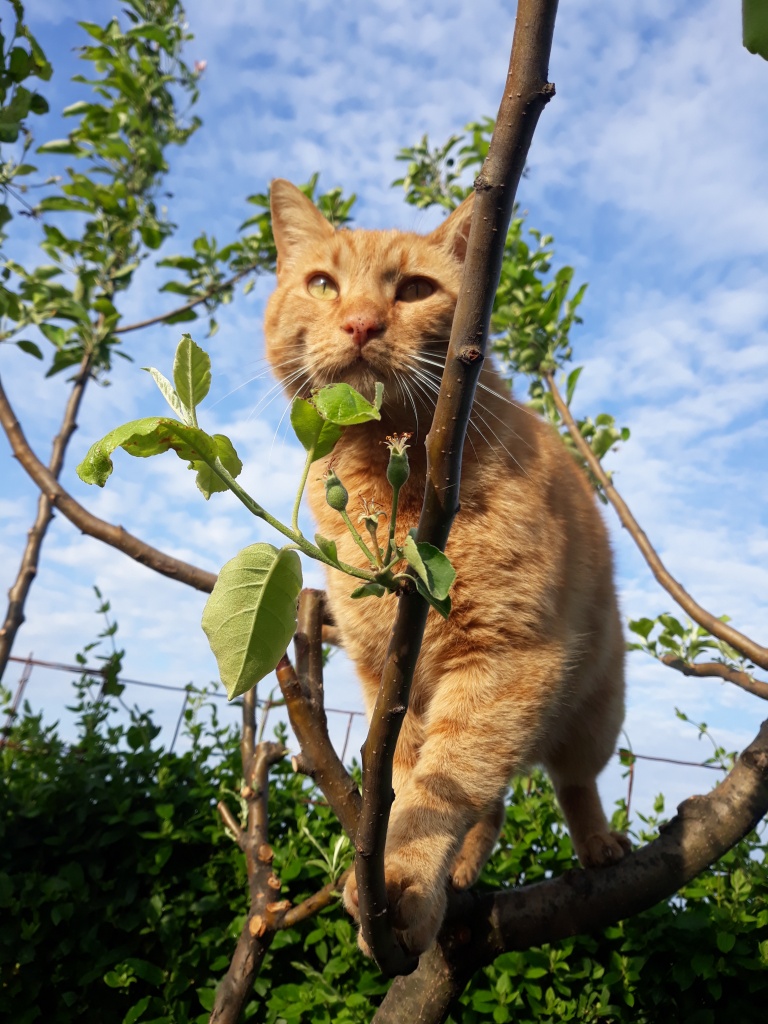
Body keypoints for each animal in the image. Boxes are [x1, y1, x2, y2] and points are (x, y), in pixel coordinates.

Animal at [268, 180, 626, 954]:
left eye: (414, 290)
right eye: (322, 285)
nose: (361, 323)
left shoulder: (506, 657)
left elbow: (444, 780)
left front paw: (403, 875)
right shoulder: (386, 677)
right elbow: (409, 778)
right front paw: (397, 874)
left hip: (595, 709)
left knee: (571, 784)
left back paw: (598, 845)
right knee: (492, 805)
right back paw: (462, 869)